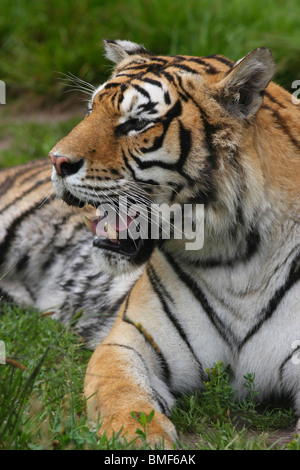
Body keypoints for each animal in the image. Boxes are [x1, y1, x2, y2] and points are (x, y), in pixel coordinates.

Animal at [0, 40, 300, 448]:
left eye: (137, 123)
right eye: (91, 110)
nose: (56, 161)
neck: (237, 259)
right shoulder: (128, 339)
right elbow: (122, 394)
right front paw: (138, 437)